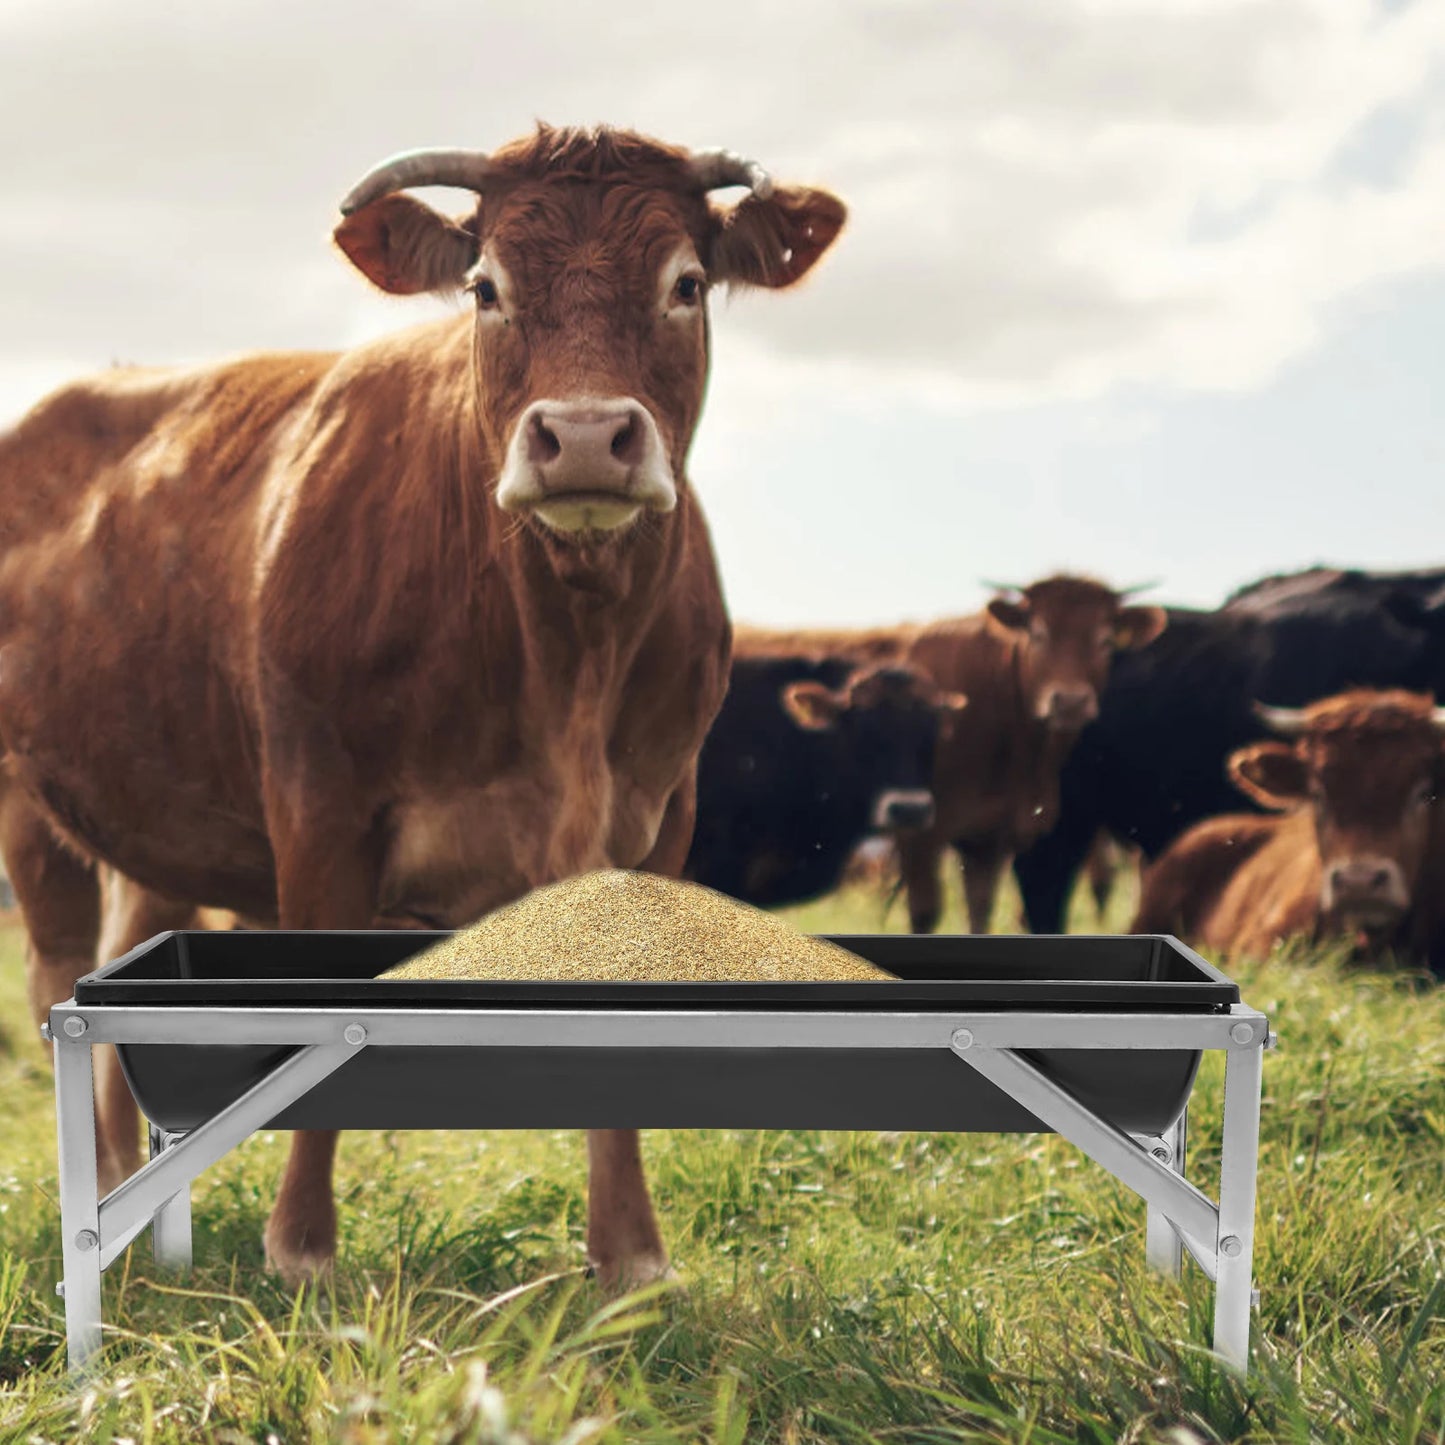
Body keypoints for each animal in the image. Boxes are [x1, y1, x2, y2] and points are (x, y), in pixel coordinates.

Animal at [0, 124, 846, 1290]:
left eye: (684, 284)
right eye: (487, 288)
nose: (586, 436)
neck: (563, 662)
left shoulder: (660, 815)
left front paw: (628, 1255)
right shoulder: (319, 809)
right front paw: (302, 1246)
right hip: (27, 802)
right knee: (59, 971)